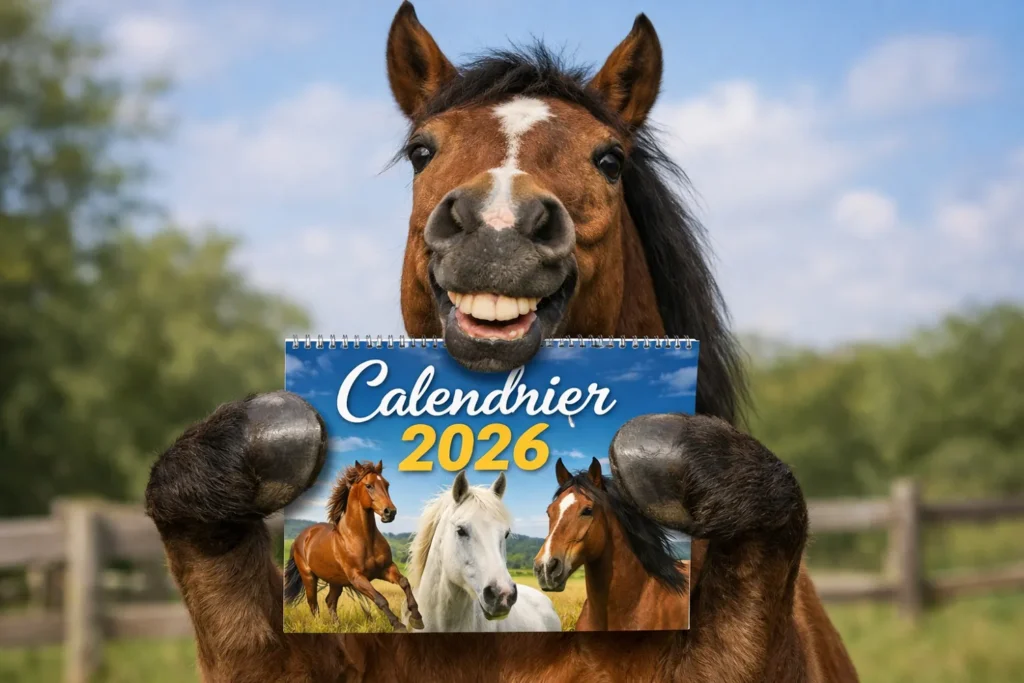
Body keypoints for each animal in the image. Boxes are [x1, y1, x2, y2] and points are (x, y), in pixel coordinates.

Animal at [283, 460, 424, 632]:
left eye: (387, 484)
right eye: (369, 486)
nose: (390, 512)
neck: (362, 538)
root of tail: (301, 537)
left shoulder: (386, 569)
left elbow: (404, 582)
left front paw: (417, 618)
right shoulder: (357, 577)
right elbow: (380, 599)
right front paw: (398, 625)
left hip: (336, 581)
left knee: (330, 601)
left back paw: (337, 627)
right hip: (309, 577)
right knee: (313, 604)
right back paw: (319, 626)